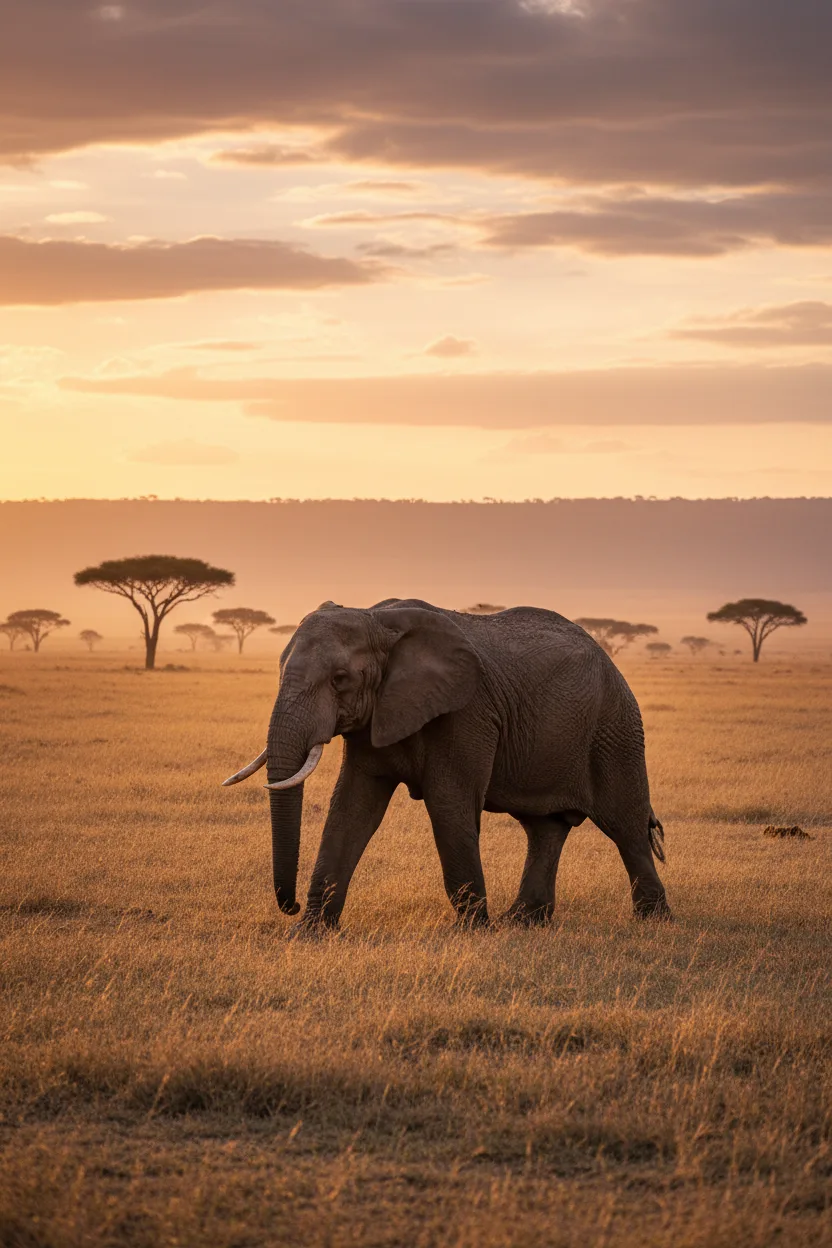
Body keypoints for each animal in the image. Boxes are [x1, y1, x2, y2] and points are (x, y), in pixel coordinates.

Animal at [222, 598, 669, 931]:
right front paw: (310, 932)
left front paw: (472, 932)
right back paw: (523, 922)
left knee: (625, 826)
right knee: (544, 828)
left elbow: (449, 804)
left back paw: (651, 921)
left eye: (339, 679)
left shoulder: (466, 713)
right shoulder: (378, 713)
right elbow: (351, 808)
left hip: (616, 729)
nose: (292, 906)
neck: (376, 619)